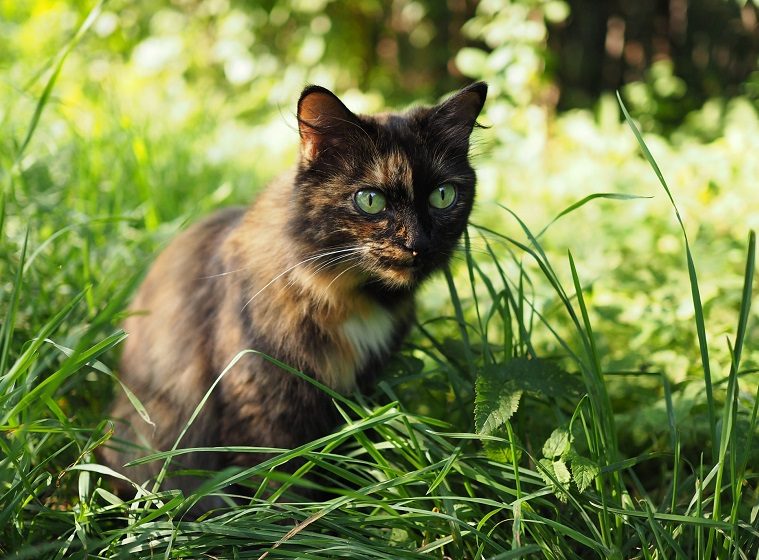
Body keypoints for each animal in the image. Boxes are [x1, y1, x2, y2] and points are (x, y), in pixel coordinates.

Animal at [99, 81, 486, 500]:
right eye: (370, 200)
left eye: (443, 196)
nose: (418, 244)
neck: (349, 296)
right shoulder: (262, 402)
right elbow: (281, 483)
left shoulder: (361, 390)